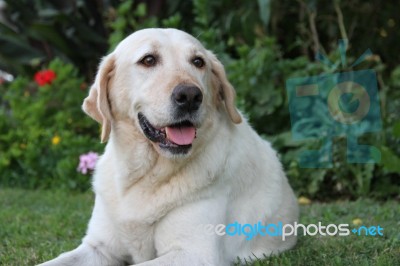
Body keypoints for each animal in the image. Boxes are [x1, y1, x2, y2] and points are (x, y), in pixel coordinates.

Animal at [39, 28, 298, 264]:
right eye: (148, 60)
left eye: (198, 62)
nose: (190, 96)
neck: (145, 174)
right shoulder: (98, 247)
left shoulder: (194, 253)